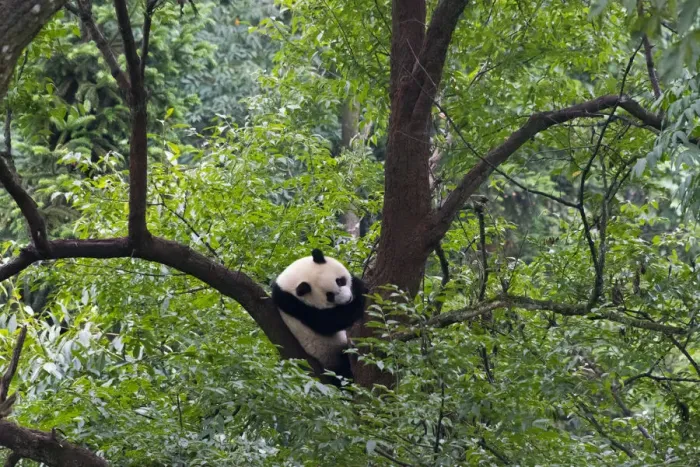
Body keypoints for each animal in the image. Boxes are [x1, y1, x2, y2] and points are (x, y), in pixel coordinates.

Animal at [271, 249, 367, 379]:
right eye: (330, 296)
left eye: (340, 281)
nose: (348, 299)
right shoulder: (295, 306)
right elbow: (328, 322)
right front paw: (361, 293)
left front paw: (357, 284)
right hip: (330, 355)